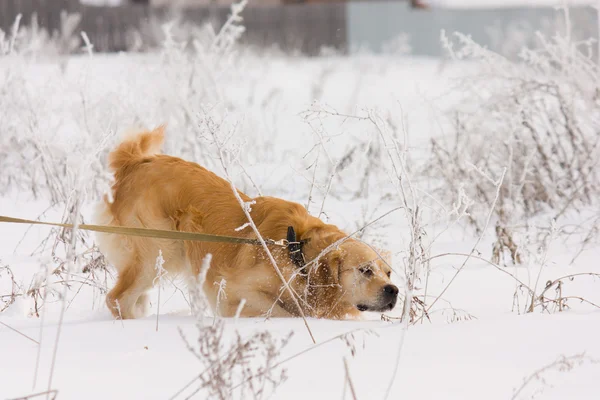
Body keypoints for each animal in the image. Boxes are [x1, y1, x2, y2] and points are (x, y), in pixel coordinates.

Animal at [94, 126, 398, 320]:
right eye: (365, 270)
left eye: (389, 273)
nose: (393, 290)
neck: (298, 253)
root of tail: (136, 162)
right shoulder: (234, 290)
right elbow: (279, 311)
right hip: (157, 252)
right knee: (117, 298)